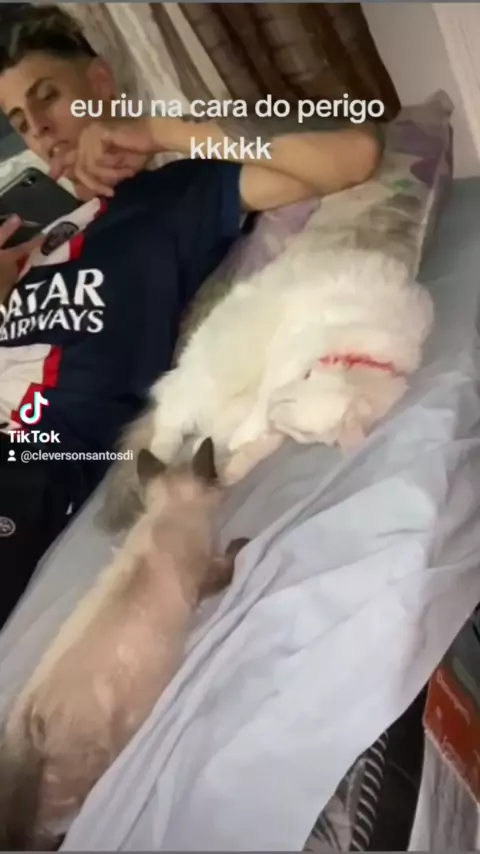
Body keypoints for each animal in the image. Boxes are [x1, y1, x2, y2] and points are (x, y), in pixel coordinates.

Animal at [0, 438, 247, 851]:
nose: (229, 481)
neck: (166, 517)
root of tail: (22, 720)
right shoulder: (207, 576)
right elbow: (230, 560)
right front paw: (241, 543)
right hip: (83, 771)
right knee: (41, 829)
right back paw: (60, 839)